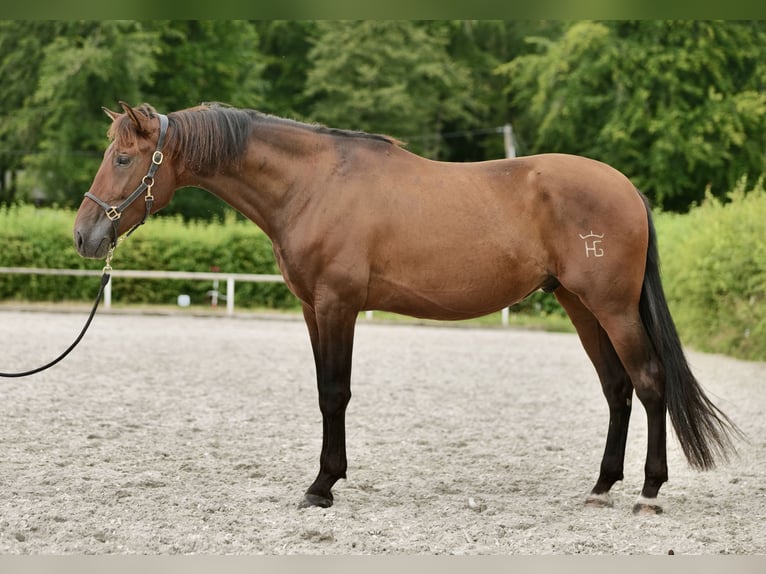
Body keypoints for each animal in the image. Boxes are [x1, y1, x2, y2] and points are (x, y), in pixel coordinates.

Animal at [75, 101, 740, 516]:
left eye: (124, 159)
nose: (84, 236)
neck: (313, 183)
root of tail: (626, 188)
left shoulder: (337, 304)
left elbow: (334, 393)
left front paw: (322, 486)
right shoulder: (313, 310)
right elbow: (323, 389)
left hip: (612, 306)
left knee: (648, 382)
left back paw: (649, 491)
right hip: (580, 305)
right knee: (616, 388)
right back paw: (601, 486)